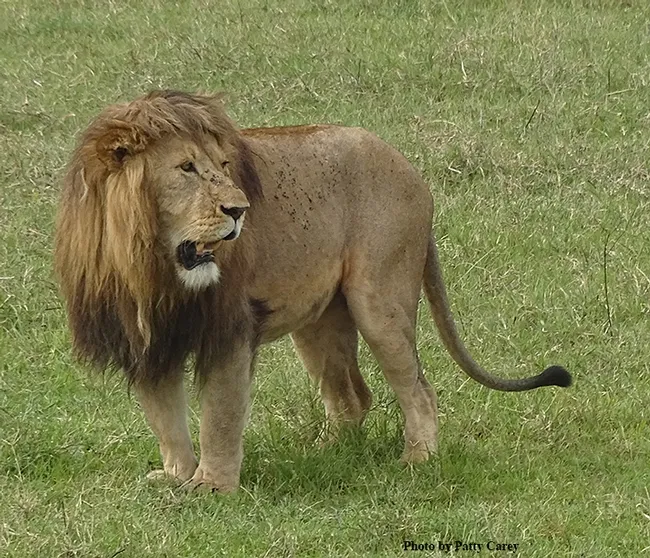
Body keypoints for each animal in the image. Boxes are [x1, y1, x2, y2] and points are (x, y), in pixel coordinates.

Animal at [54, 90, 571, 493]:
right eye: (185, 168)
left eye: (224, 165)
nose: (240, 210)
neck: (146, 265)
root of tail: (411, 169)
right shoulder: (143, 338)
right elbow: (164, 418)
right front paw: (176, 476)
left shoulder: (231, 331)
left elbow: (220, 415)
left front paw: (212, 487)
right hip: (319, 320)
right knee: (351, 398)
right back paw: (323, 455)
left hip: (378, 300)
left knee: (420, 389)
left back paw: (417, 459)